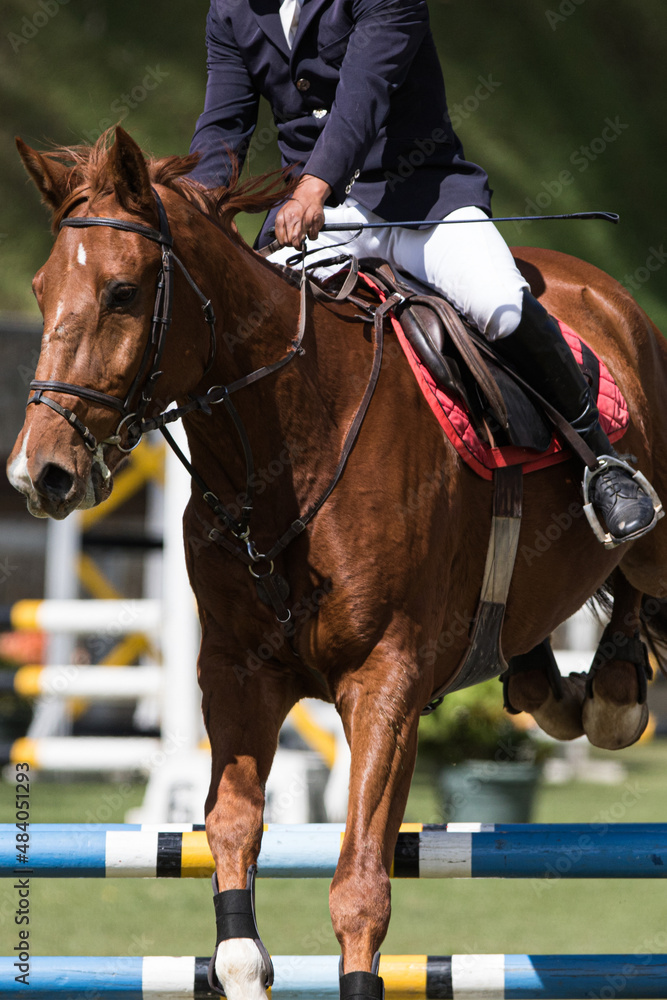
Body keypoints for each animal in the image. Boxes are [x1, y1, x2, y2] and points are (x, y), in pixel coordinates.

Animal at [9, 126, 667, 1000]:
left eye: (121, 292)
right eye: (43, 291)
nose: (39, 473)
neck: (286, 447)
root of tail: (595, 286)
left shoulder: (382, 682)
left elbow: (359, 883)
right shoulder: (237, 675)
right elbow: (229, 828)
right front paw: (239, 959)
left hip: (650, 534)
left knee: (636, 574)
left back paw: (617, 676)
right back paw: (552, 682)